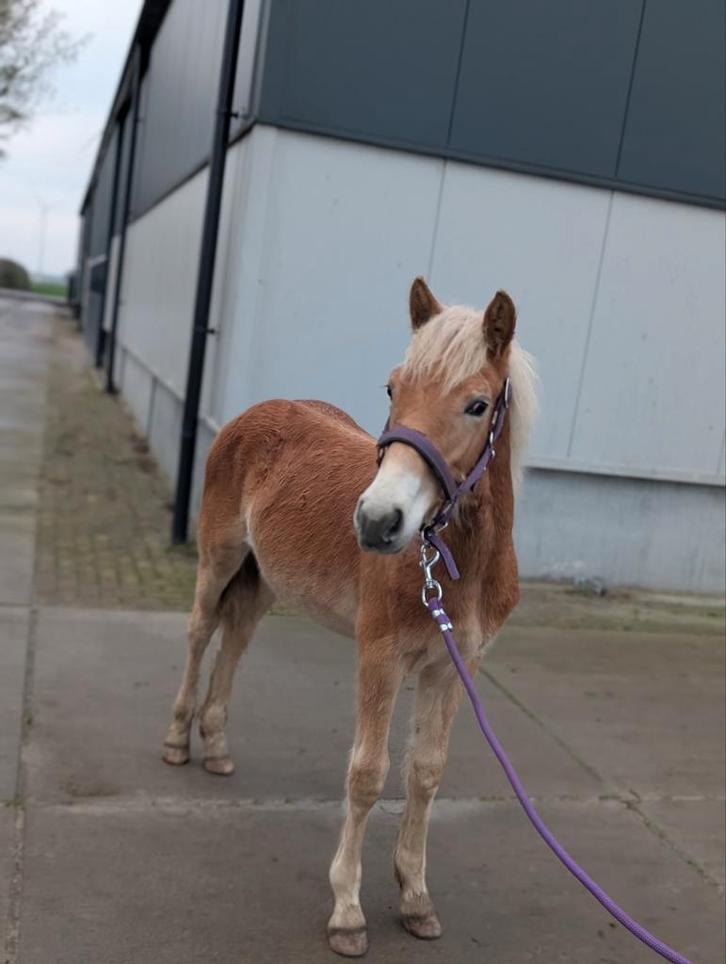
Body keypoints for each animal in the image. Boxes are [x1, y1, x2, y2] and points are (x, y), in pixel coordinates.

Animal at [162, 277, 538, 957]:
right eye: (393, 387)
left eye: (477, 405)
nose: (377, 521)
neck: (452, 568)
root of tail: (255, 412)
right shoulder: (380, 656)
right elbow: (367, 773)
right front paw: (346, 911)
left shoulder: (454, 666)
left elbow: (426, 771)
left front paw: (416, 899)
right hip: (218, 558)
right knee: (202, 631)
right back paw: (179, 739)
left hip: (263, 582)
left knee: (237, 638)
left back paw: (218, 745)